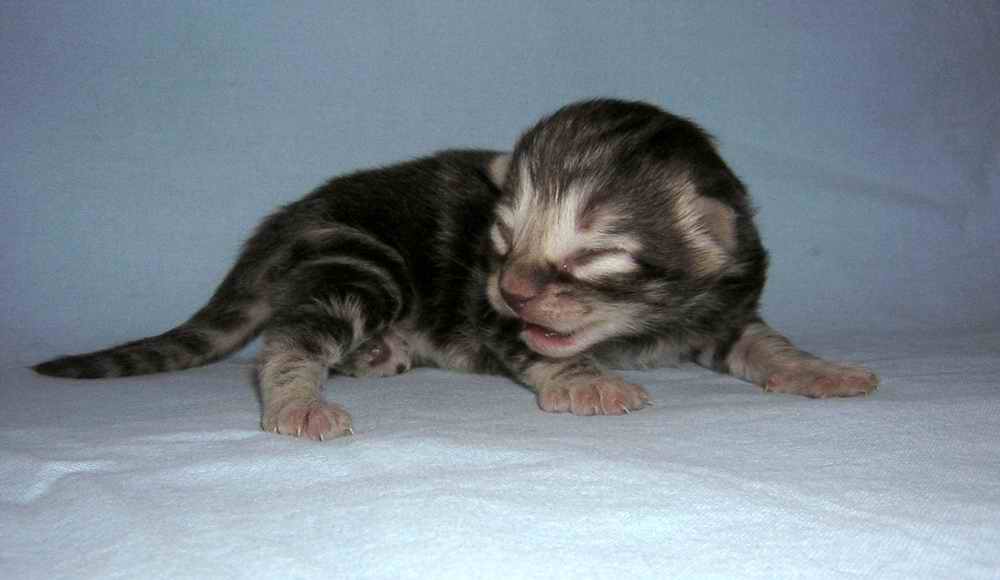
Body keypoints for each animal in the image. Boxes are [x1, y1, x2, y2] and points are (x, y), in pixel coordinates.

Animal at [34, 99, 878, 440]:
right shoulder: (500, 322)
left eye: (593, 255)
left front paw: (820, 369)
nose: (511, 288)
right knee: (289, 340)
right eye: (500, 244)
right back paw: (300, 399)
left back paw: (380, 355)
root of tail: (293, 212)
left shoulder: (726, 303)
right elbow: (542, 354)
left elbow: (764, 343)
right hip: (362, 262)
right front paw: (588, 383)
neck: (649, 325)